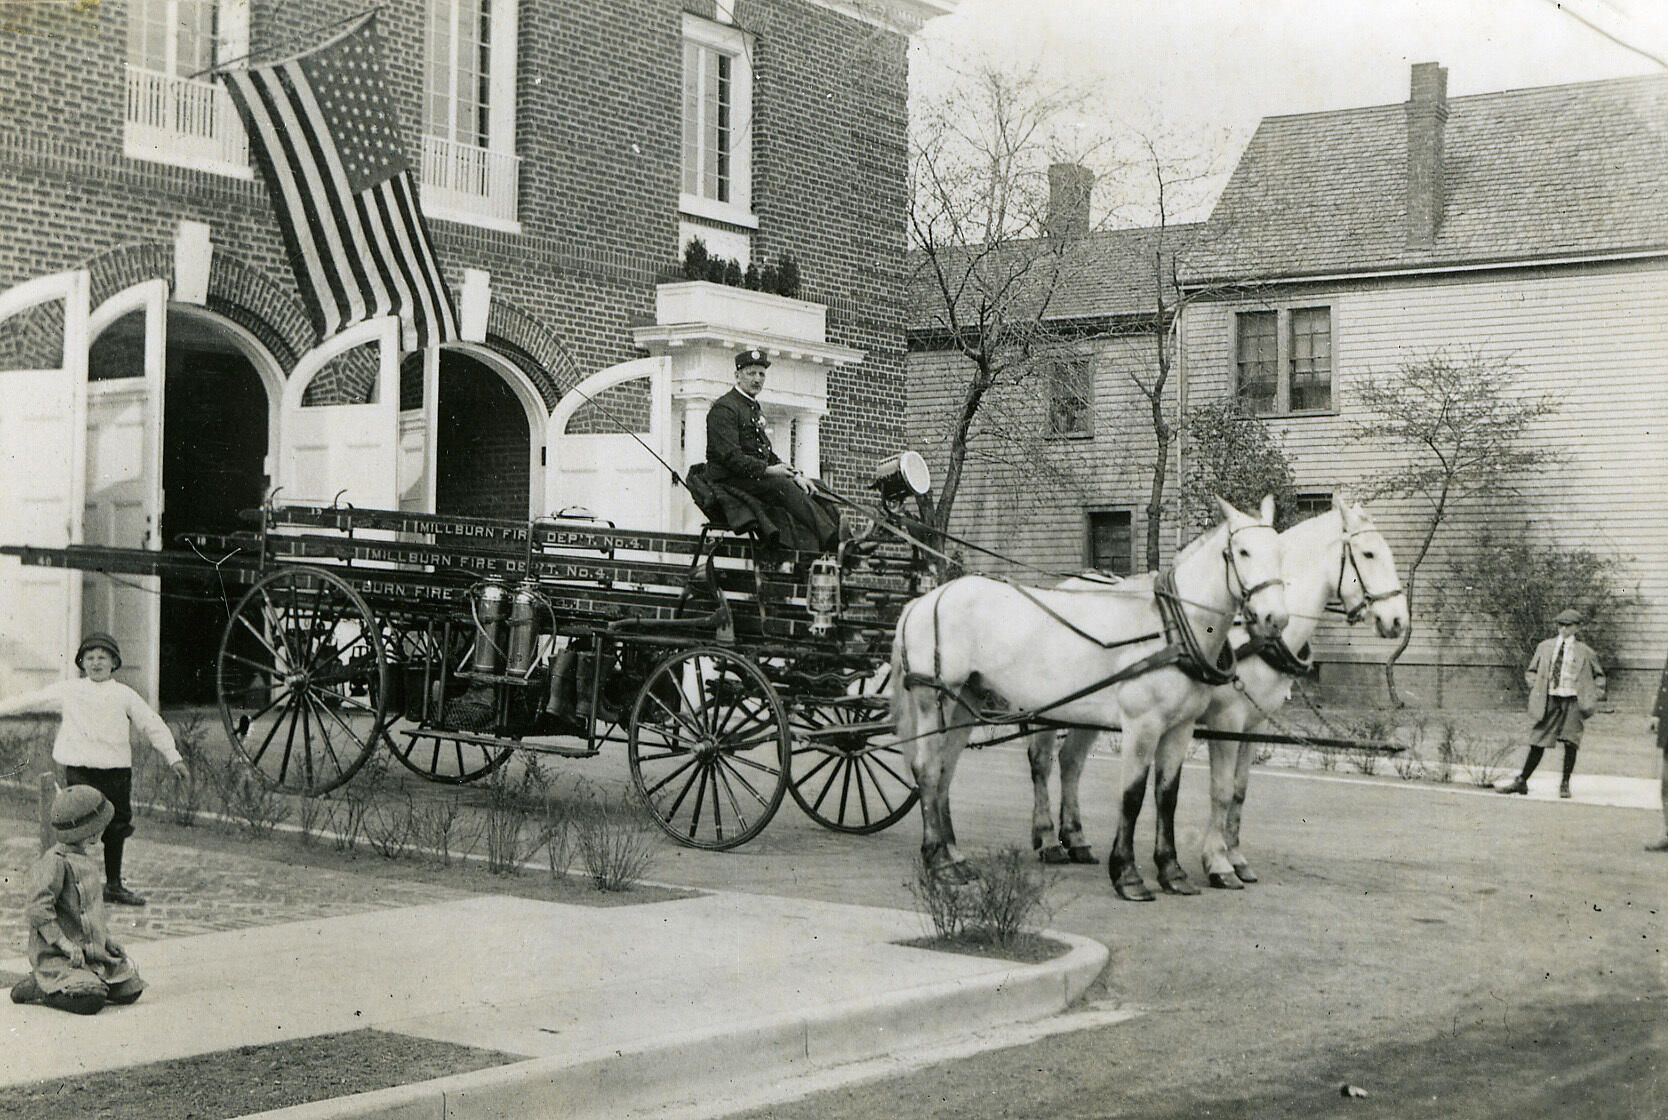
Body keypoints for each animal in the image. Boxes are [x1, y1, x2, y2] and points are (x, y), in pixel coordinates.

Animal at [892, 495, 1289, 894]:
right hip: (934, 699)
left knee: (946, 769)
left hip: (967, 701)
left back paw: (955, 856)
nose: (1276, 619)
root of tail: (925, 600)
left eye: (1279, 550)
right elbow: (1132, 796)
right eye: (1243, 551)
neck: (1170, 628)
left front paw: (1172, 871)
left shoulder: (1181, 728)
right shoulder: (1142, 725)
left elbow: (1167, 796)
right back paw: (939, 861)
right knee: (928, 769)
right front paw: (1127, 874)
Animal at [1026, 494, 1407, 894]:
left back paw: (1076, 840)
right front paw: (1218, 863)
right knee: (1042, 761)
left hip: (1087, 709)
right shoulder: (1227, 720)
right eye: (1368, 554)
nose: (1398, 621)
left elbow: (1239, 790)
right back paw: (1050, 840)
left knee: (1071, 761)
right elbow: (1221, 790)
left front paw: (1236, 858)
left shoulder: (1255, 725)